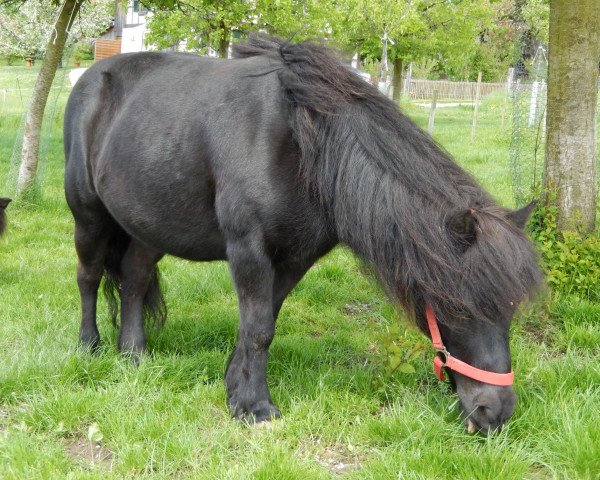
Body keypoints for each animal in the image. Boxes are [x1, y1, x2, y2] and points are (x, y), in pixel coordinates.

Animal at [63, 34, 540, 432]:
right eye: (458, 308)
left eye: (510, 310)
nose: (495, 412)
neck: (304, 144)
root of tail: (90, 77)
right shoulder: (249, 250)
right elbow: (258, 328)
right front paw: (255, 407)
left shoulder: (295, 258)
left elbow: (261, 323)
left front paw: (235, 388)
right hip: (88, 217)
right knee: (88, 277)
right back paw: (89, 347)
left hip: (147, 228)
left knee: (134, 280)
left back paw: (134, 354)